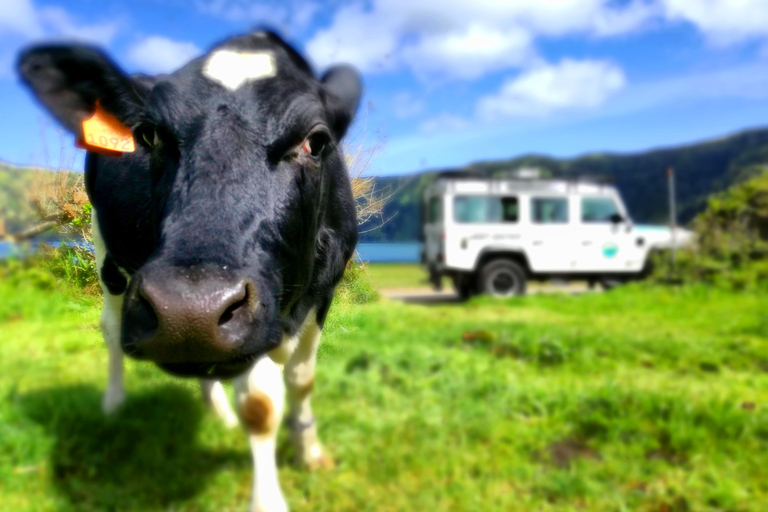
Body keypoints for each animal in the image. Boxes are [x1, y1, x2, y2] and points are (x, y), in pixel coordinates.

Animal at [18, 32, 360, 512]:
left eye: (317, 140)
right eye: (148, 134)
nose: (188, 311)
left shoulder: (323, 288)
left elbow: (301, 380)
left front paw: (309, 452)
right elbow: (260, 404)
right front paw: (269, 499)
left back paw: (218, 413)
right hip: (105, 250)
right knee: (110, 327)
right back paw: (114, 404)